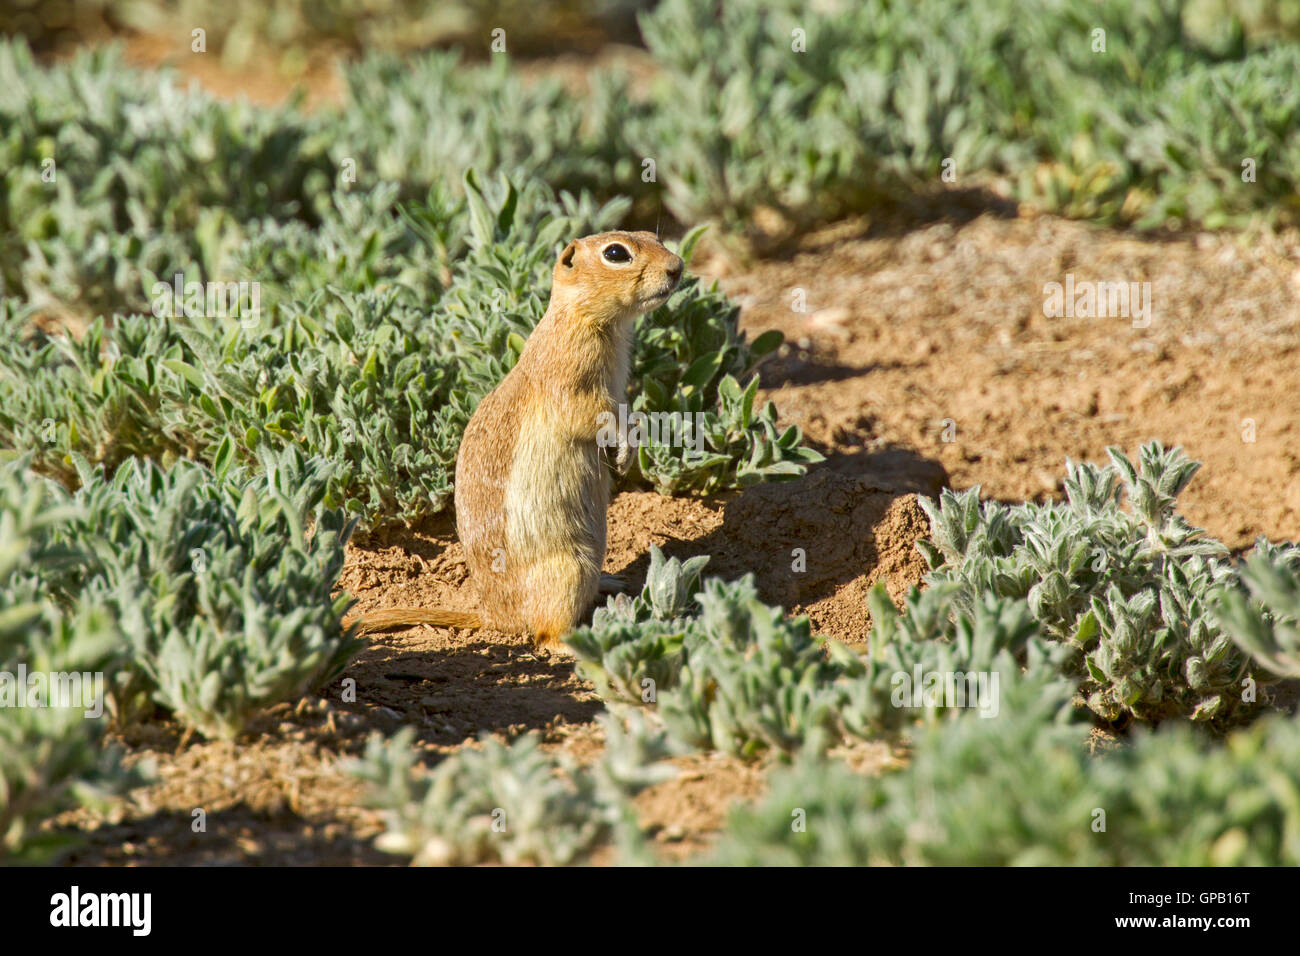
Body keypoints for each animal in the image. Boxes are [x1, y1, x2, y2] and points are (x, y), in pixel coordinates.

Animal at [351, 231, 686, 650]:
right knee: (546, 635)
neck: (580, 319)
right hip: (569, 569)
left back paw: (610, 581)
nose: (678, 267)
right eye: (615, 253)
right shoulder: (572, 378)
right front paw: (627, 444)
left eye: (654, 237)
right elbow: (598, 415)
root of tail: (494, 617)